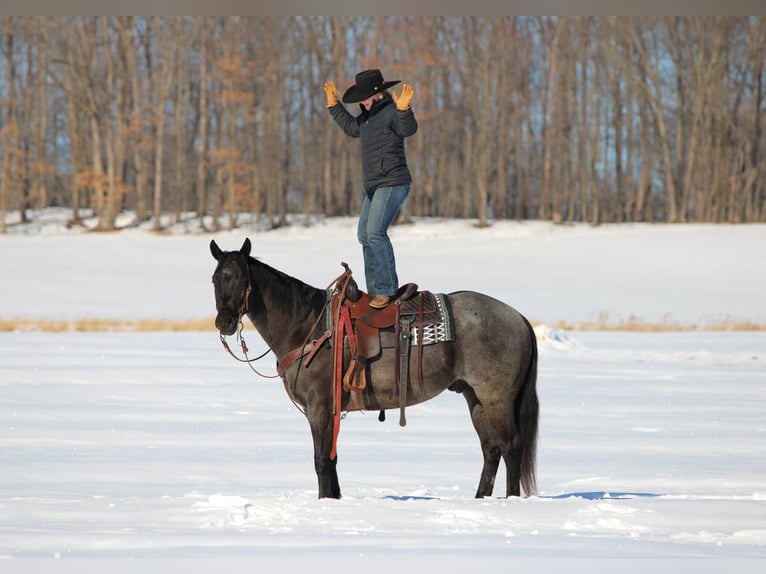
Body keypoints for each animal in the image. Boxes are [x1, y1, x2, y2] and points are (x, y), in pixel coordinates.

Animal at [210, 237, 539, 499]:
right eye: (215, 279)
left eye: (240, 277)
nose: (224, 322)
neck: (307, 325)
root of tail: (519, 317)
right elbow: (332, 459)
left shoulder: (319, 407)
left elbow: (321, 460)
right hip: (475, 397)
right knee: (491, 449)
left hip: (497, 398)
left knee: (511, 447)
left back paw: (511, 500)